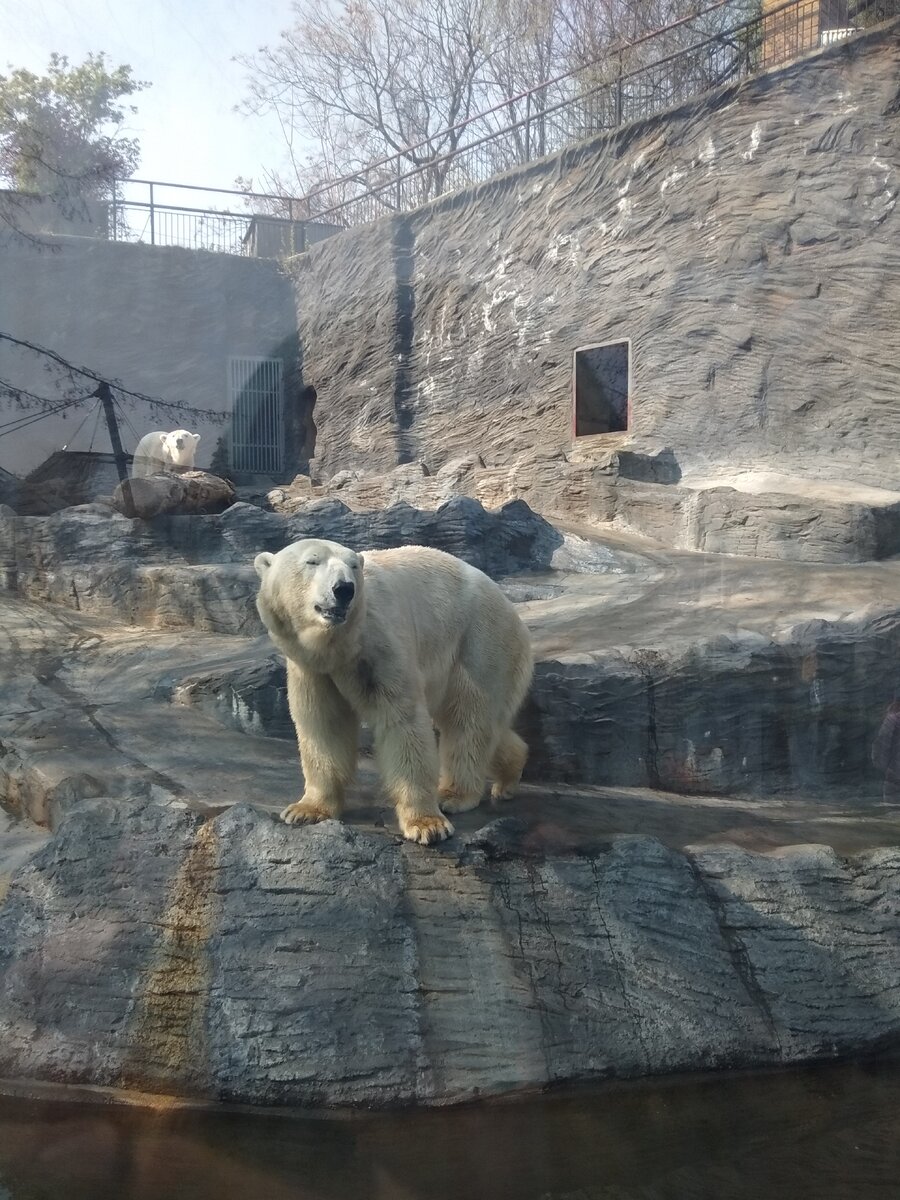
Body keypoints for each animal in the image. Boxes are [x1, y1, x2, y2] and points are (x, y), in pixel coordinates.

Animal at [254, 540, 535, 849]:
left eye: (353, 565)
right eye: (312, 561)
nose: (344, 589)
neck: (339, 646)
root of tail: (511, 609)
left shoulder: (380, 643)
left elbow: (402, 721)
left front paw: (427, 825)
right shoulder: (313, 670)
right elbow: (323, 724)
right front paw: (305, 811)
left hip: (479, 640)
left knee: (469, 716)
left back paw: (454, 795)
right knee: (485, 724)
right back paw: (508, 777)